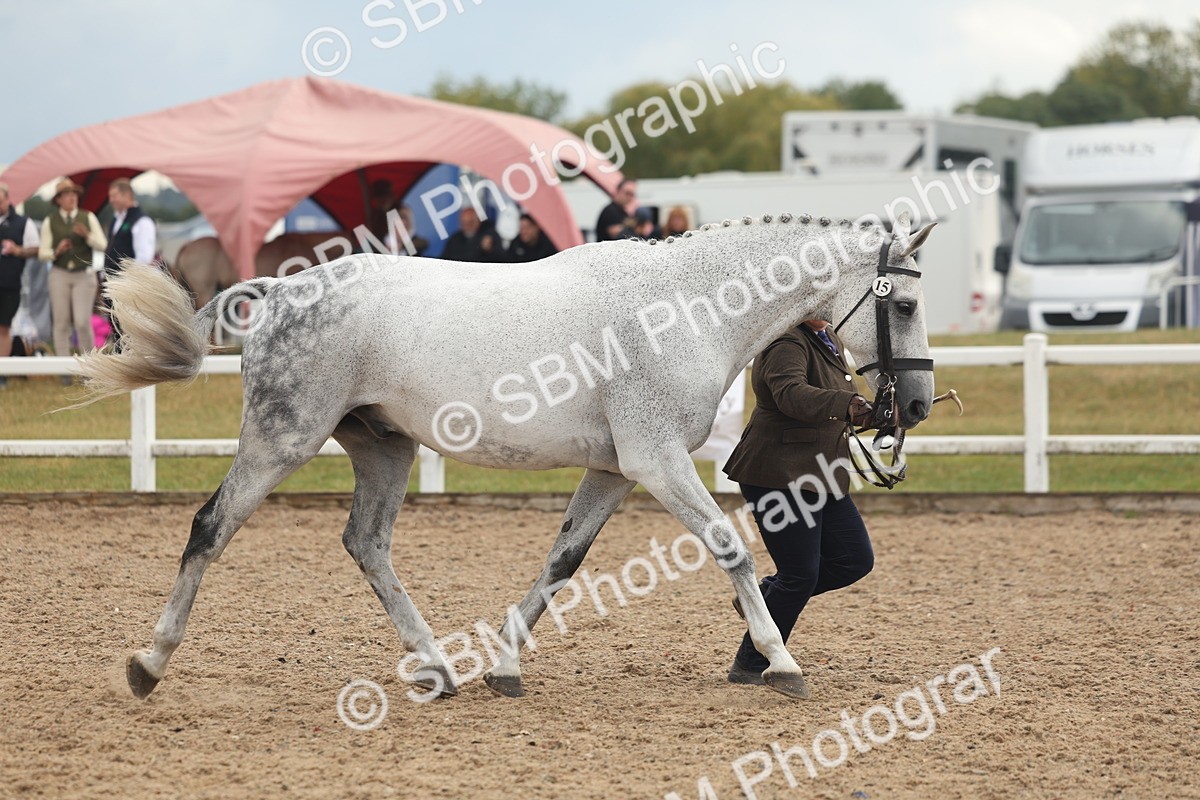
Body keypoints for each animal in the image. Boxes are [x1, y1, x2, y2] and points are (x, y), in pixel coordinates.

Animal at [76, 210, 937, 702]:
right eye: (903, 302)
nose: (917, 406)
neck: (687, 308)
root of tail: (280, 292)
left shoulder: (615, 469)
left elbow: (562, 562)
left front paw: (505, 668)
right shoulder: (656, 461)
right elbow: (728, 547)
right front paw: (780, 662)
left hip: (383, 447)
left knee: (366, 543)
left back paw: (437, 670)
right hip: (282, 438)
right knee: (210, 529)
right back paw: (149, 664)